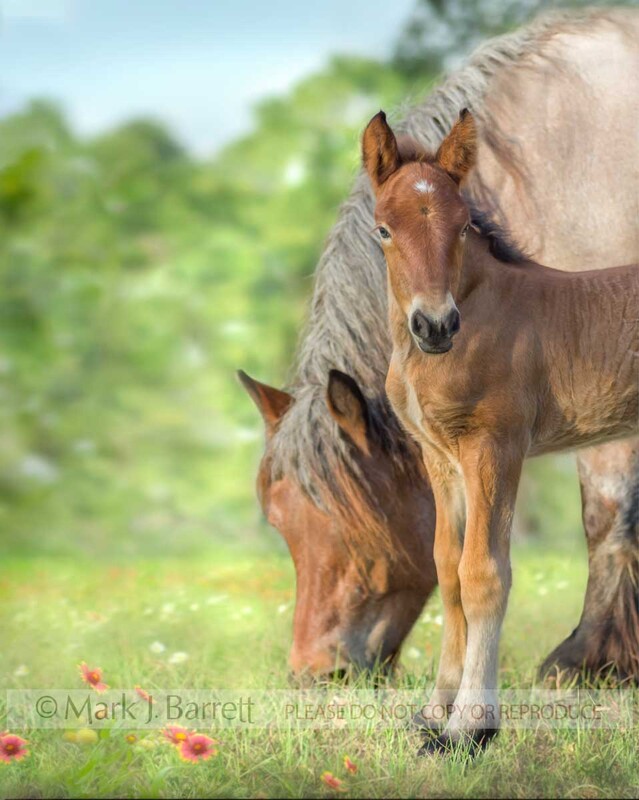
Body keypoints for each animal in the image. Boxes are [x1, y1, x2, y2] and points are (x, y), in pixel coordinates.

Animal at [362, 106, 638, 750]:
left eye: (463, 226)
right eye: (383, 230)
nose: (436, 325)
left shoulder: (496, 446)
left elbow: (484, 572)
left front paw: (470, 726)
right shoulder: (440, 457)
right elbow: (447, 567)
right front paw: (433, 712)